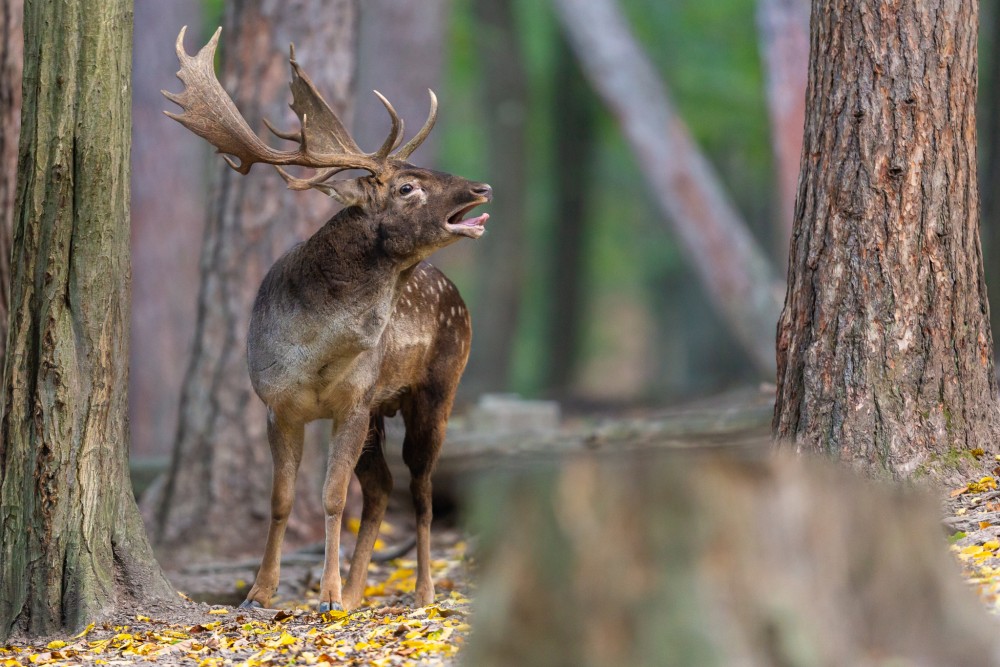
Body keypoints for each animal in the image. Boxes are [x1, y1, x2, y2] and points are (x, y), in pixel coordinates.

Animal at [164, 27, 492, 612]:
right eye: (407, 187)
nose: (481, 189)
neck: (314, 351)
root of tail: (455, 292)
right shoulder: (277, 405)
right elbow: (281, 498)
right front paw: (260, 591)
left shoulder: (353, 402)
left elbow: (334, 497)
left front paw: (329, 594)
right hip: (384, 408)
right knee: (383, 486)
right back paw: (363, 591)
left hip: (438, 386)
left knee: (422, 489)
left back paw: (421, 591)